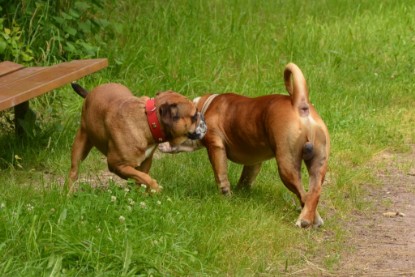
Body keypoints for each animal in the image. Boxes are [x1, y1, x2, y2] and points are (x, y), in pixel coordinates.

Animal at [68, 83, 208, 193]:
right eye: (194, 116)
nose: (203, 117)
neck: (148, 121)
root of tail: (91, 93)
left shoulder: (146, 162)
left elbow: (141, 178)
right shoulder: (117, 164)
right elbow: (143, 177)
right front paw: (154, 187)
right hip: (80, 143)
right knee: (73, 172)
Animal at [160, 63, 332, 227]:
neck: (205, 106)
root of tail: (299, 104)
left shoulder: (215, 147)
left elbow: (221, 175)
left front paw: (226, 195)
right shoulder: (254, 162)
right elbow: (246, 178)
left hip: (287, 165)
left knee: (303, 193)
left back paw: (304, 220)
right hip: (318, 162)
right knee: (313, 192)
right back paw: (313, 218)